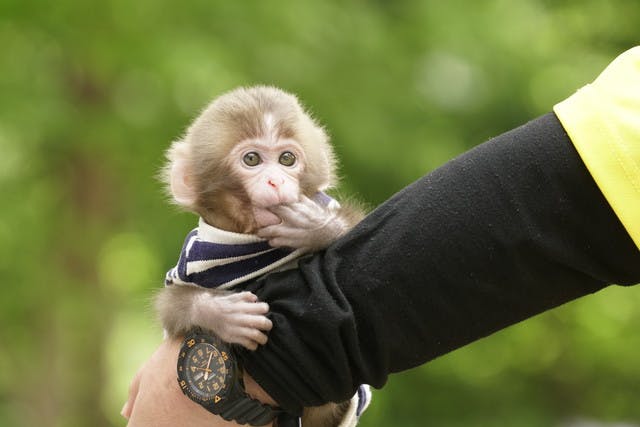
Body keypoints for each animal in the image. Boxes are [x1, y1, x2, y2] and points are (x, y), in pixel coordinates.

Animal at [156, 86, 372, 427]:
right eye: (252, 159)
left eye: (287, 159)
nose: (276, 180)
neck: (251, 242)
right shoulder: (192, 259)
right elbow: (171, 305)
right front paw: (221, 313)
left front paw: (315, 226)